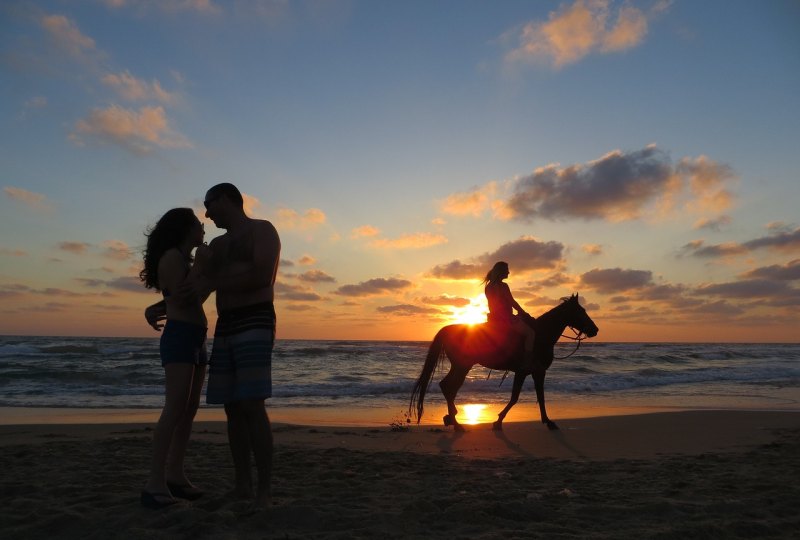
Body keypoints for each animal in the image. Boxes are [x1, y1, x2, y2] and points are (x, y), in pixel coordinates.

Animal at [410, 294, 596, 432]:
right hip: (462, 366)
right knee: (449, 387)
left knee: (448, 387)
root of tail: (448, 329)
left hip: (461, 366)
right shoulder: (525, 371)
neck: (541, 335)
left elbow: (540, 397)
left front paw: (548, 421)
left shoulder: (537, 372)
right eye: (581, 311)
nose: (595, 330)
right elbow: (515, 397)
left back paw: (451, 419)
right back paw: (455, 423)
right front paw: (498, 421)